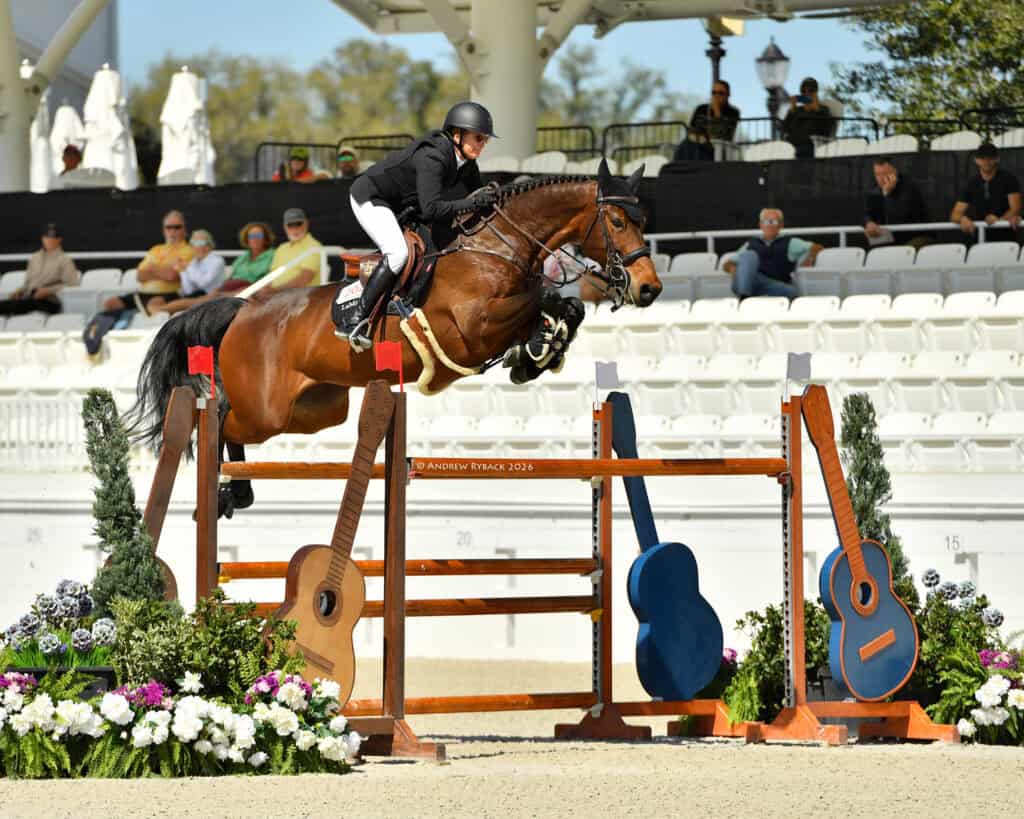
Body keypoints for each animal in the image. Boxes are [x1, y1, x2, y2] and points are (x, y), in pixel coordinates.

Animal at [128, 159, 662, 512]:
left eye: (643, 221)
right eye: (618, 221)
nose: (650, 288)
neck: (496, 248)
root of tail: (244, 310)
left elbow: (563, 304)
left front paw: (537, 353)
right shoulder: (471, 328)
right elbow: (543, 298)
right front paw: (536, 348)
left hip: (315, 410)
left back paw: (237, 491)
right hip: (265, 408)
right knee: (222, 418)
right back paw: (226, 490)